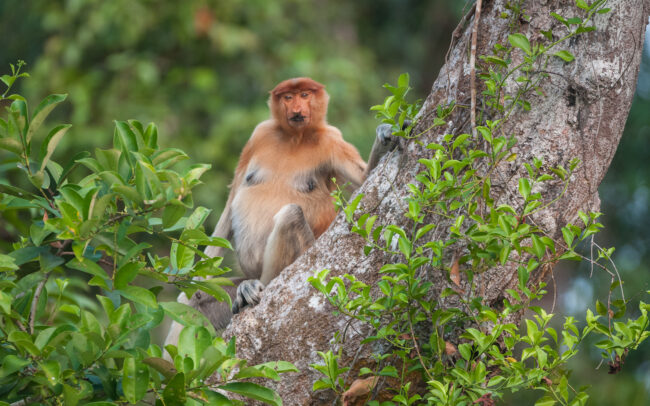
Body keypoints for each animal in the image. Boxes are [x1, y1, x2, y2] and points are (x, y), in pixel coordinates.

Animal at [165, 78, 401, 346]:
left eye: (305, 95)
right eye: (288, 97)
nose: (297, 109)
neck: (295, 138)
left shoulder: (332, 141)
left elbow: (364, 180)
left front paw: (386, 134)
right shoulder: (259, 134)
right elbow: (233, 195)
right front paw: (196, 275)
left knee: (291, 216)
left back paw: (253, 289)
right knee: (193, 302)